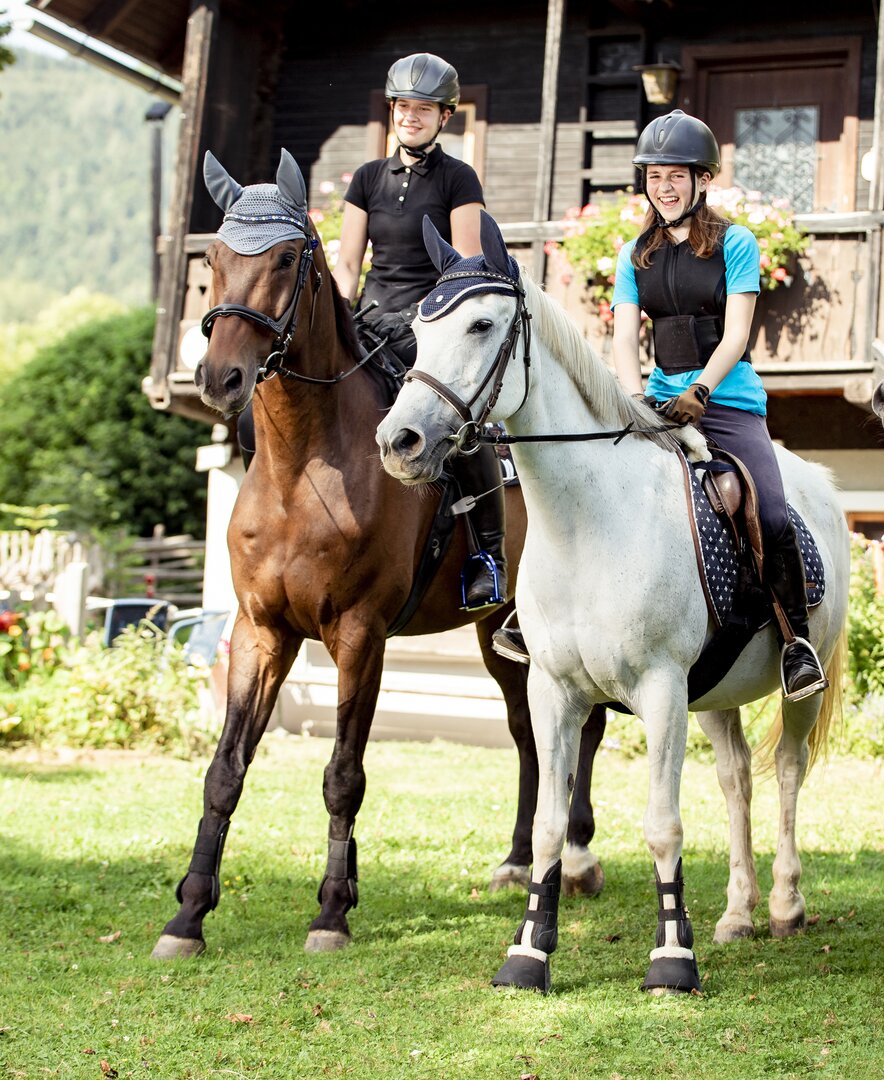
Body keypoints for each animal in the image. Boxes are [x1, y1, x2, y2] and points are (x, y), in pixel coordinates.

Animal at [152, 147, 608, 959]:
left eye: (286, 258)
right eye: (212, 258)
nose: (219, 378)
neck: (302, 469)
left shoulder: (360, 636)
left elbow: (343, 774)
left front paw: (332, 910)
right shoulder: (261, 631)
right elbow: (225, 770)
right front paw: (189, 914)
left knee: (580, 728)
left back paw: (577, 856)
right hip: (500, 638)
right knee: (529, 735)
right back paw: (519, 857)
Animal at [377, 212, 850, 993]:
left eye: (481, 325)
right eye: (417, 329)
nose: (399, 441)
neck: (589, 525)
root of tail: (824, 489)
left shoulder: (658, 689)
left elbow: (663, 825)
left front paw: (672, 958)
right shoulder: (554, 690)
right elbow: (547, 823)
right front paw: (528, 953)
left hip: (790, 686)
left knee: (786, 770)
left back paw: (785, 905)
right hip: (712, 695)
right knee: (736, 780)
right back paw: (738, 914)